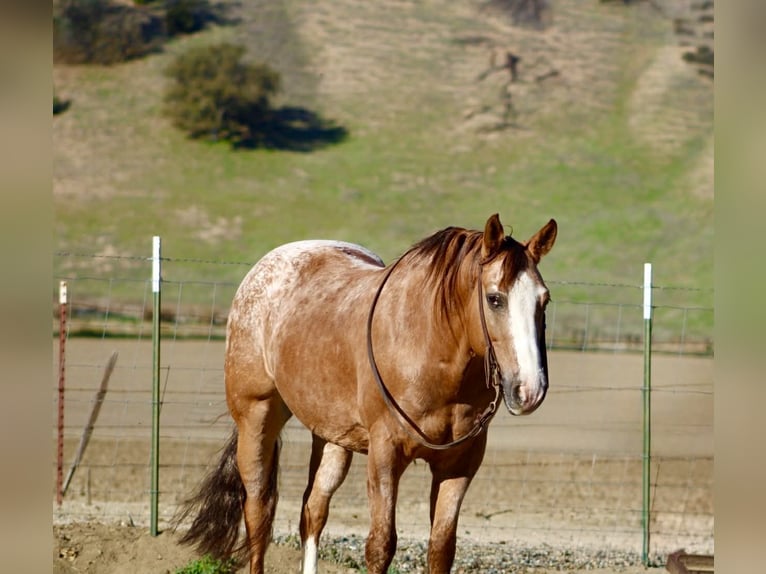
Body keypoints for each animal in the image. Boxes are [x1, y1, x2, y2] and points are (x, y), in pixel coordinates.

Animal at [176, 213, 557, 574]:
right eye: (495, 299)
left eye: (544, 300)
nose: (530, 390)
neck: (427, 346)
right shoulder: (385, 454)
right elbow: (381, 545)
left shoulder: (460, 464)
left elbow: (441, 549)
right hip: (257, 418)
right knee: (258, 513)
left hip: (331, 438)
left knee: (312, 511)